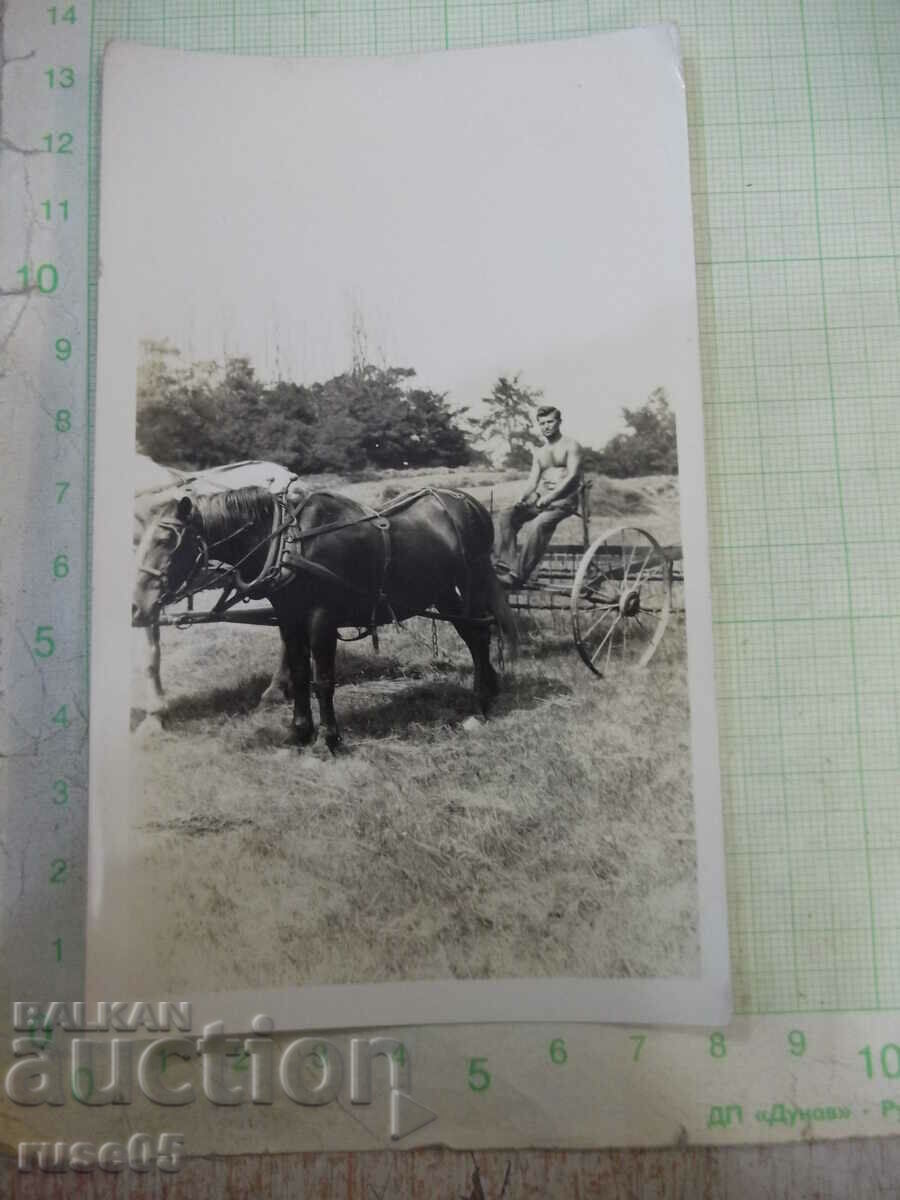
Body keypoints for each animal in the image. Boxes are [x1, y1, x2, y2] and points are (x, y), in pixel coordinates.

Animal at [130, 487, 518, 748]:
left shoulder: (322, 617)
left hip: (466, 583)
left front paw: (328, 739)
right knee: (474, 635)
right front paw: (299, 732)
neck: (289, 541)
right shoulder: (289, 617)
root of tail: (468, 502)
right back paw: (488, 693)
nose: (136, 608)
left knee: (479, 635)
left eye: (167, 539)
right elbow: (301, 675)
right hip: (442, 591)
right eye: (140, 541)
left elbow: (323, 679)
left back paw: (481, 706)